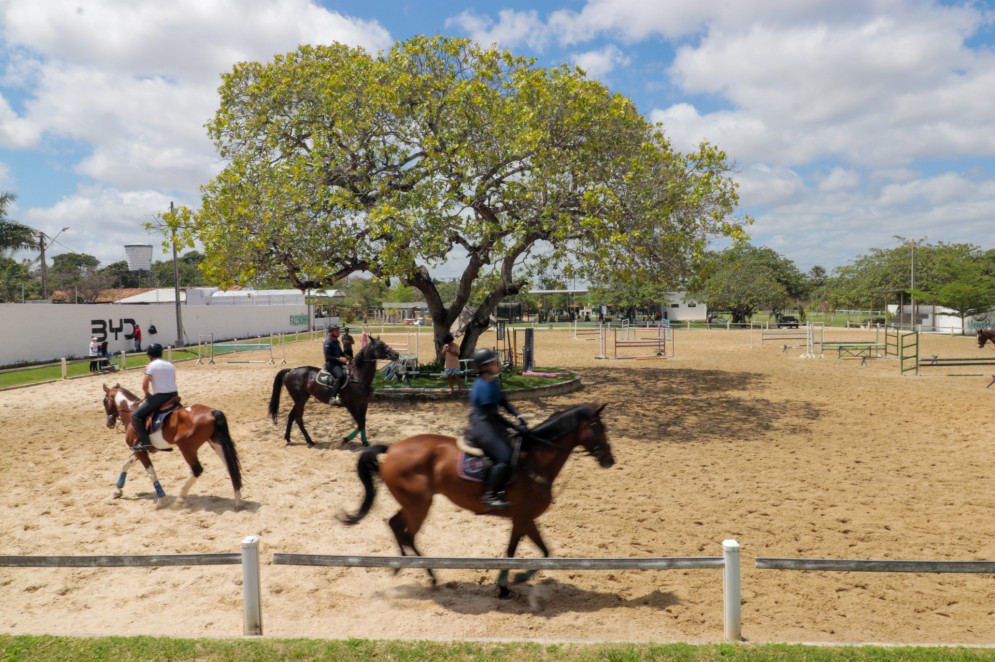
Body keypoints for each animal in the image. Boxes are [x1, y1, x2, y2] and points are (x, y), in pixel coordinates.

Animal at [272, 338, 400, 446]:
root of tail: (292, 370)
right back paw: (309, 440)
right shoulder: (351, 405)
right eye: (380, 345)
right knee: (298, 419)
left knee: (291, 416)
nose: (396, 354)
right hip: (300, 400)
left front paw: (364, 442)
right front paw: (345, 439)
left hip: (301, 399)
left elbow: (363, 423)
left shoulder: (364, 404)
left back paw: (288, 439)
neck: (357, 376)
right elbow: (360, 424)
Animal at [344, 402, 616, 600]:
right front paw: (508, 585)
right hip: (419, 504)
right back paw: (427, 573)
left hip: (413, 504)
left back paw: (412, 567)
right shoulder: (522, 516)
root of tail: (392, 449)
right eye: (599, 428)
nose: (609, 460)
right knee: (406, 533)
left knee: (396, 525)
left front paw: (512, 581)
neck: (536, 458)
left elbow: (544, 552)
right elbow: (516, 553)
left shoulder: (524, 518)